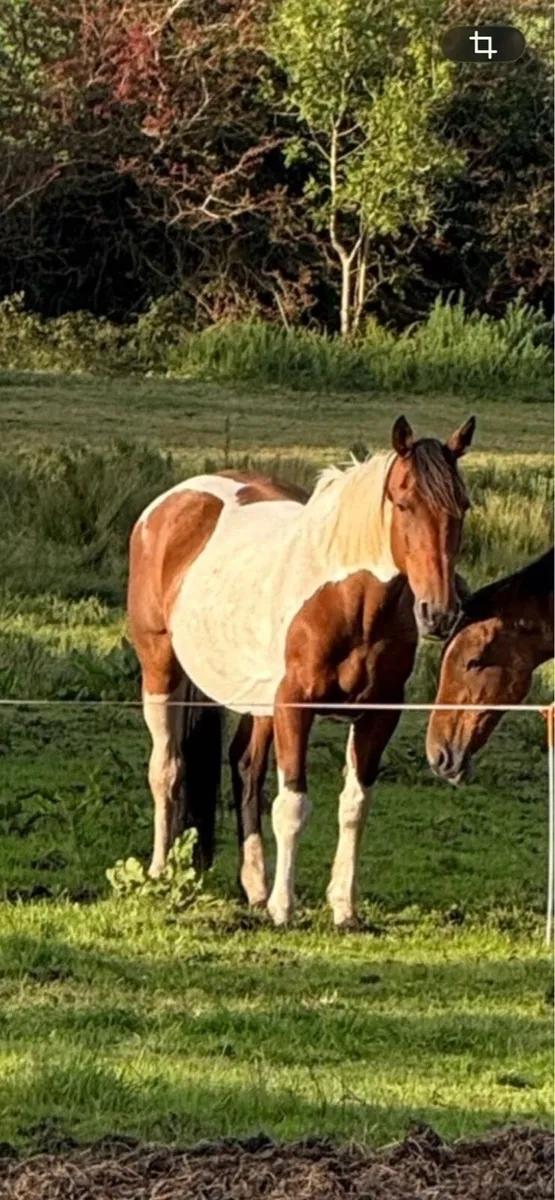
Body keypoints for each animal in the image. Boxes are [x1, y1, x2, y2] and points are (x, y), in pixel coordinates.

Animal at [127, 414, 475, 926]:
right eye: (404, 502)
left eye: (462, 506)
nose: (440, 613)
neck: (351, 601)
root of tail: (169, 504)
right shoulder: (295, 706)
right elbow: (292, 805)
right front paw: (284, 907)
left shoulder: (378, 715)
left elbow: (354, 805)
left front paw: (344, 908)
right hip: (161, 671)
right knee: (167, 768)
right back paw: (158, 871)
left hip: (257, 701)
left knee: (245, 767)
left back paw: (254, 885)